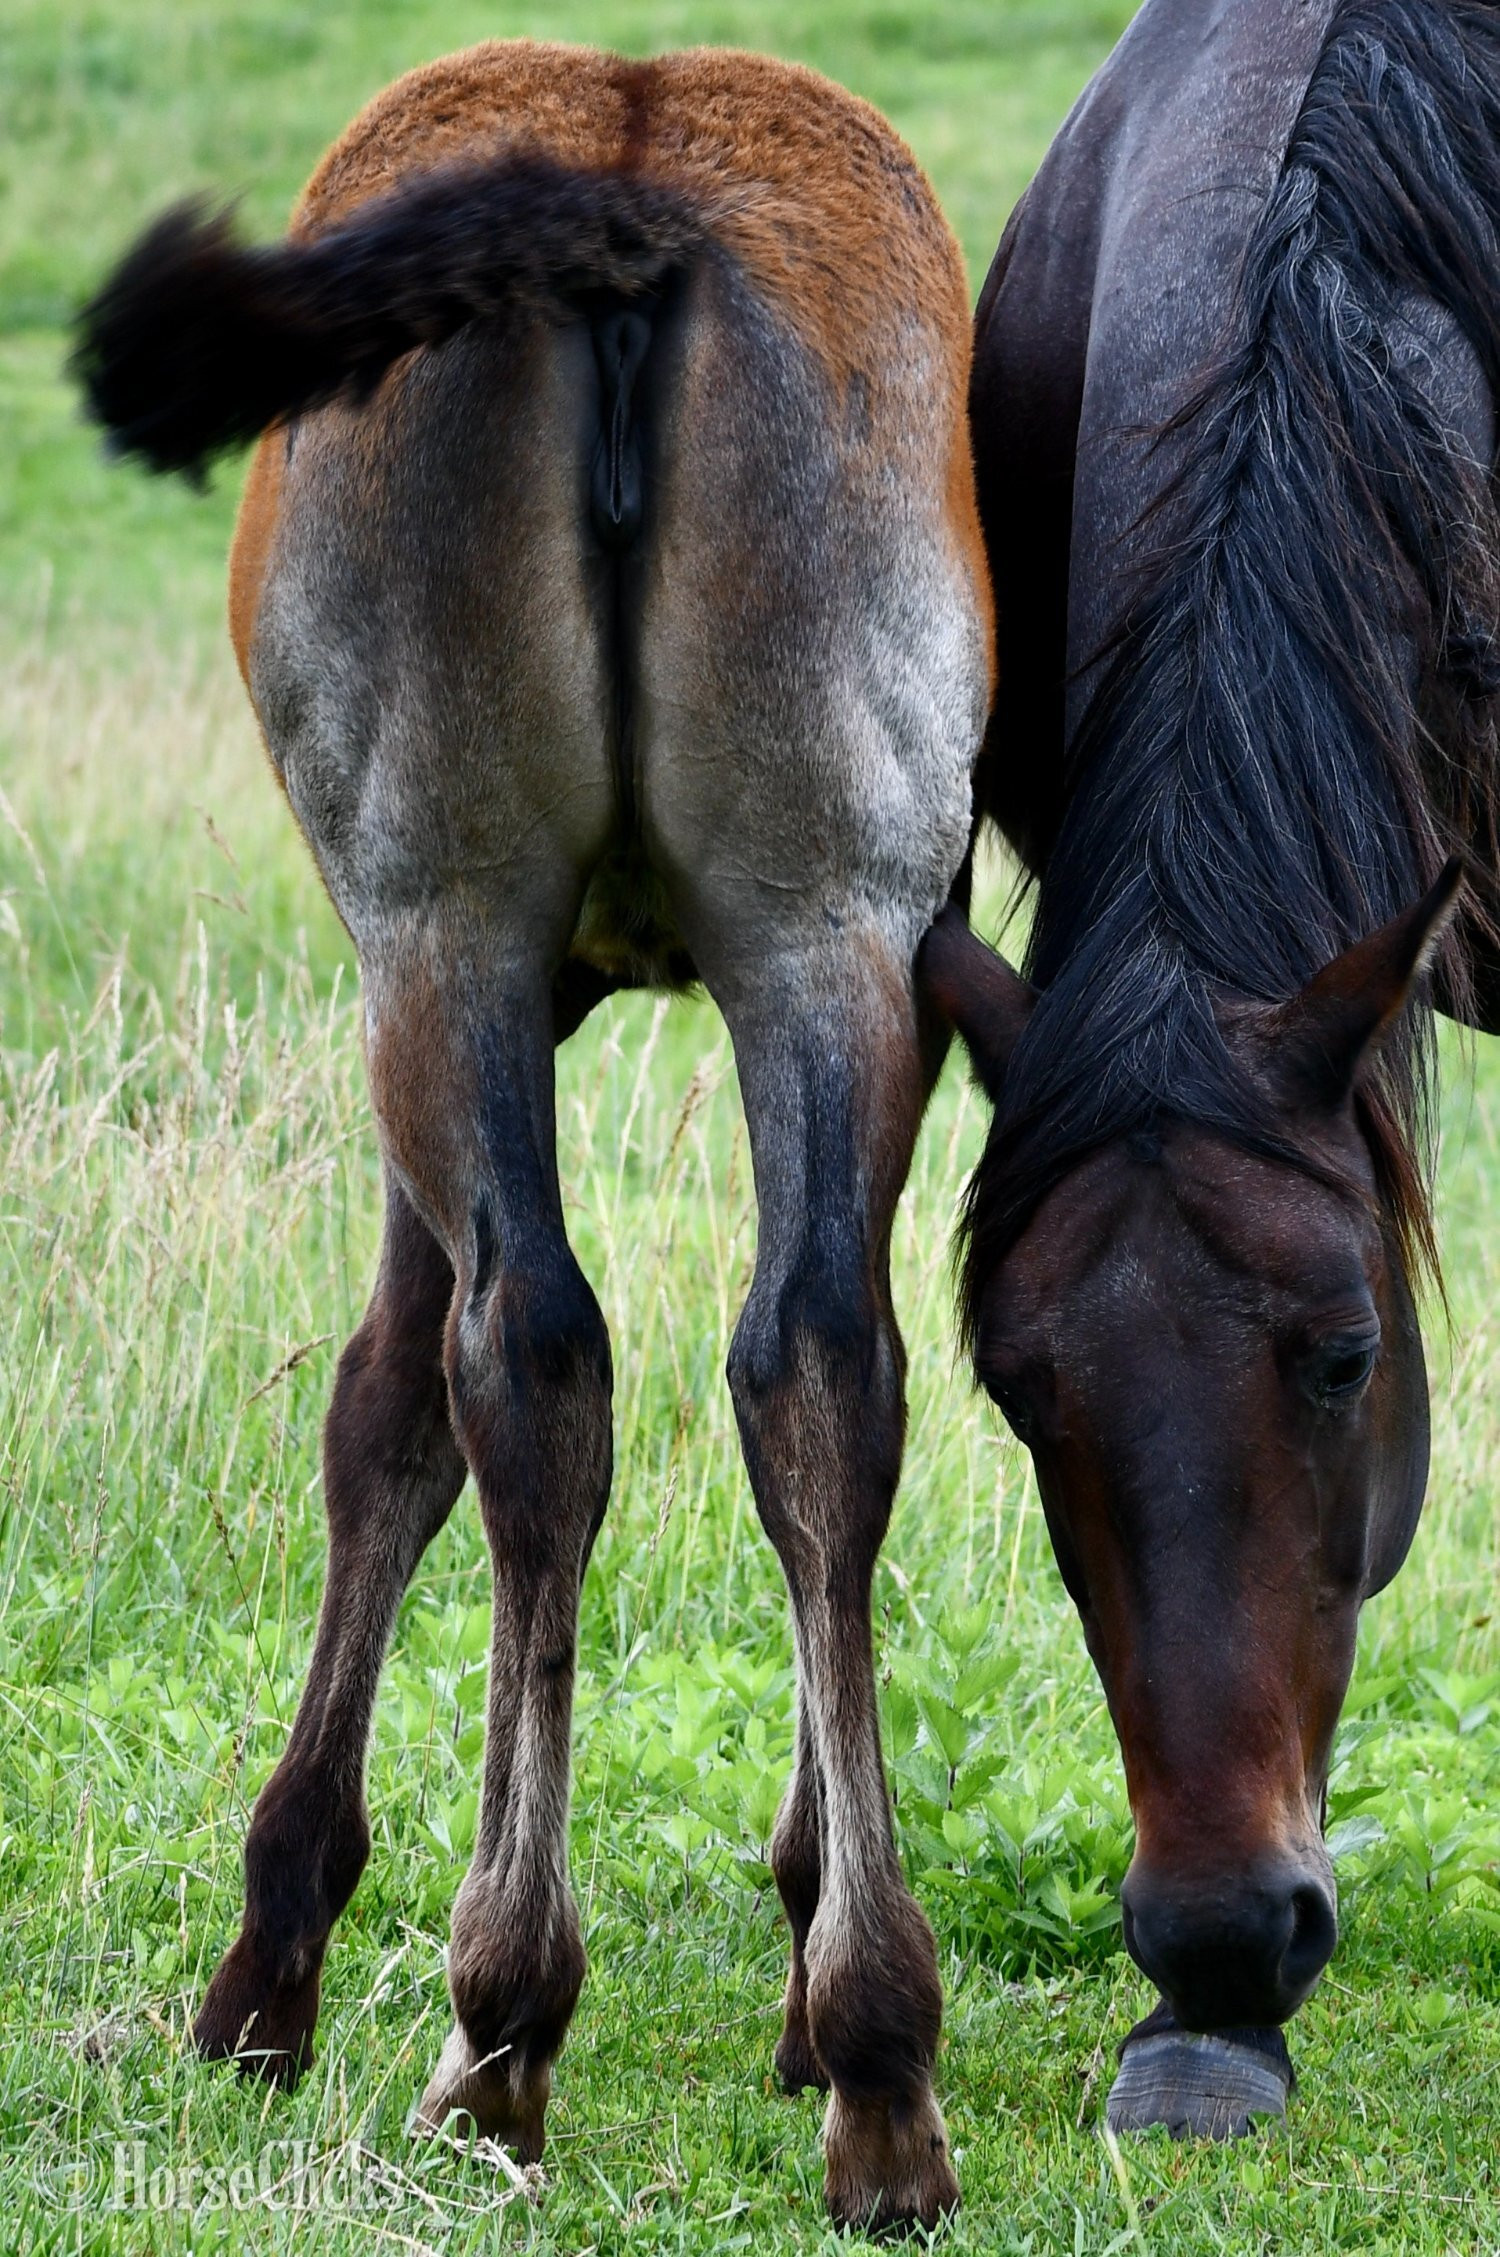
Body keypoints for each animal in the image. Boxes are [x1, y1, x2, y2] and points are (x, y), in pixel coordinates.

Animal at [72, 43, 994, 2231]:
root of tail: (628, 173)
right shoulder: (895, 973)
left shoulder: (433, 967)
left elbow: (385, 1412)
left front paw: (273, 1955)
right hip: (821, 928)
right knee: (818, 1368)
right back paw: (878, 2063)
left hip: (443, 929)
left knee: (528, 1358)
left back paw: (500, 2022)